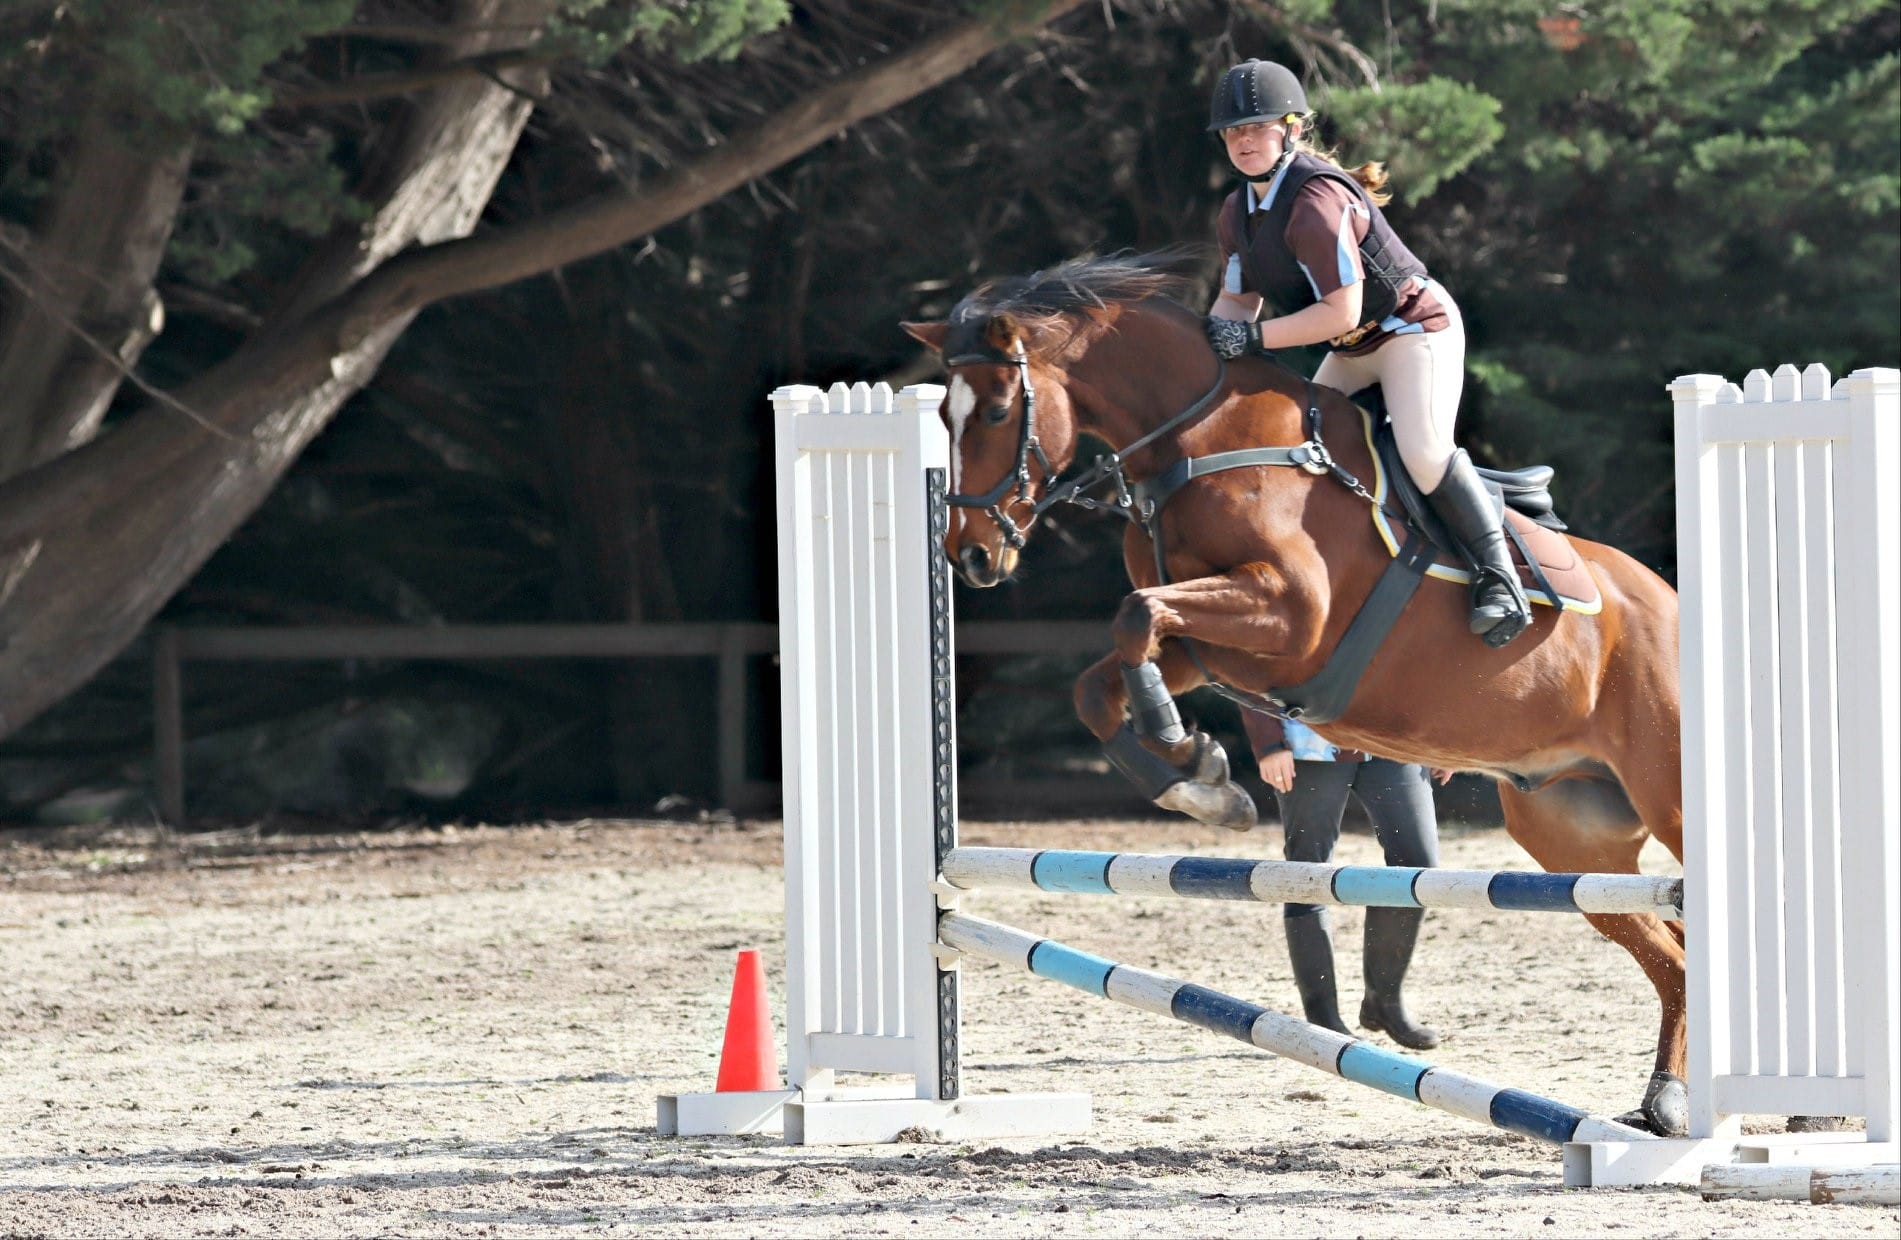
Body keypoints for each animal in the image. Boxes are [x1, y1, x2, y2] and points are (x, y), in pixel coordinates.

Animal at [901, 256, 1689, 1136]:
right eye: (945, 414)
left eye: (999, 409)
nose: (970, 556)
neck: (1200, 441)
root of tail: (1669, 602)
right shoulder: (1217, 646)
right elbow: (1102, 677)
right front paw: (1199, 780)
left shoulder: (1289, 615)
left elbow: (1135, 616)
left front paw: (1181, 745)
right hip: (1572, 837)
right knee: (1671, 951)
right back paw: (1662, 1103)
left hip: (1667, 799)